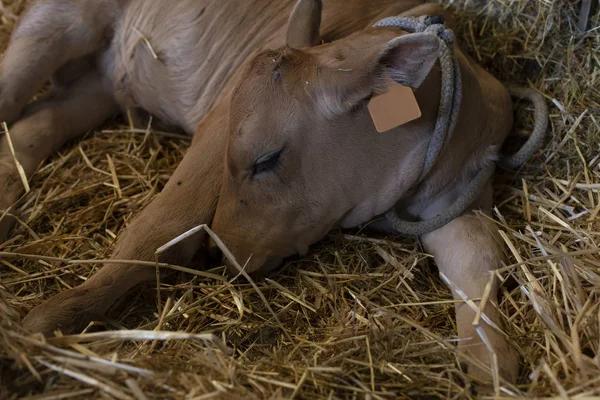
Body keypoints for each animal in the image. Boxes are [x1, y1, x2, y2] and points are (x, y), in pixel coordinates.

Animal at [0, 0, 544, 386]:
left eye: (266, 161)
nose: (220, 251)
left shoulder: (460, 200)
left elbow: (479, 267)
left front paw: (490, 365)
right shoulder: (221, 122)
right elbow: (158, 229)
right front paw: (53, 319)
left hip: (99, 81)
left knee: (38, 121)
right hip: (60, 20)